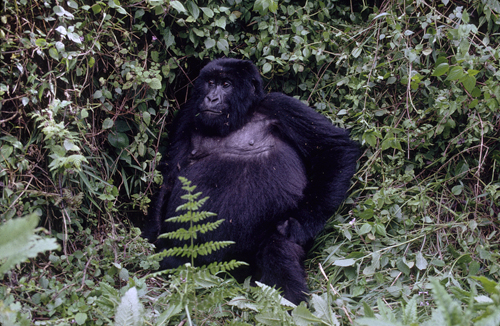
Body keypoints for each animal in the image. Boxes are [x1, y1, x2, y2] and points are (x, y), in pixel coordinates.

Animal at [145, 57, 360, 304]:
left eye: (226, 84)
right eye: (210, 83)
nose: (211, 98)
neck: (241, 117)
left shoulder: (280, 106)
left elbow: (334, 147)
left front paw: (301, 223)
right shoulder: (187, 114)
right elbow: (171, 175)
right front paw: (152, 238)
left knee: (277, 247)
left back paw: (290, 300)